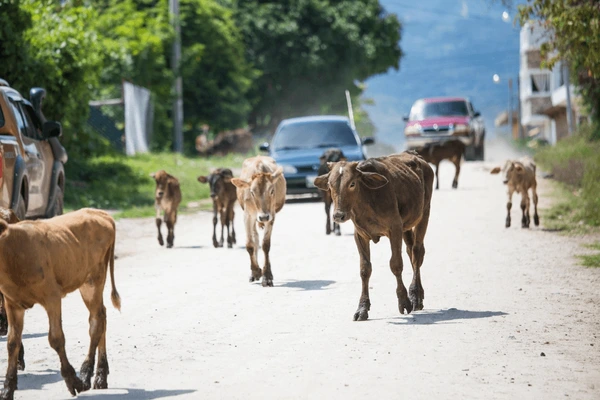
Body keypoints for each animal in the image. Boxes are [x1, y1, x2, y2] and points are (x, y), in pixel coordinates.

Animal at [231, 155, 284, 286]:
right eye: (251, 192)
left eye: (272, 190)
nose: (263, 217)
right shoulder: (247, 216)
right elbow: (250, 244)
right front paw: (255, 272)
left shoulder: (271, 215)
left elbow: (265, 245)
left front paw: (267, 276)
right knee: (255, 238)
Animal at [312, 152, 434, 320]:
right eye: (330, 185)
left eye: (352, 184)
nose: (338, 215)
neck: (367, 199)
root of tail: (415, 155)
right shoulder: (360, 235)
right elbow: (365, 269)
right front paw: (362, 308)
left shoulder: (395, 229)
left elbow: (396, 264)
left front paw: (404, 301)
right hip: (407, 227)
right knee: (410, 251)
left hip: (424, 214)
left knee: (417, 253)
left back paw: (415, 295)